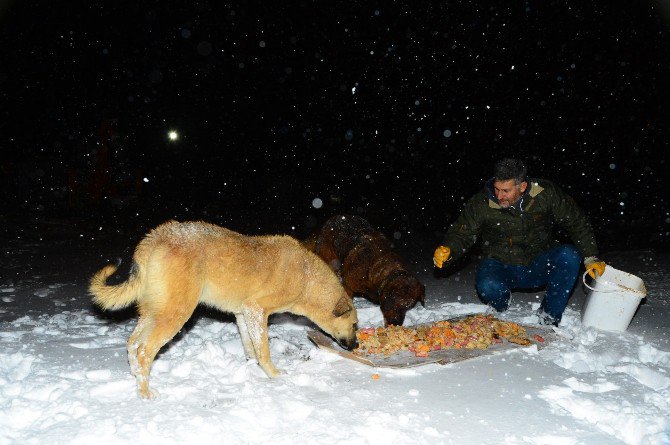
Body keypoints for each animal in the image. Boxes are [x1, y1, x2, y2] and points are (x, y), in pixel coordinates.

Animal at [93, 220, 362, 398]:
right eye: (354, 325)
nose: (356, 345)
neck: (306, 278)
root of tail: (156, 235)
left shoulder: (244, 314)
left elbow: (251, 349)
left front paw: (251, 369)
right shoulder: (257, 310)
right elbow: (264, 351)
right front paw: (274, 375)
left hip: (153, 313)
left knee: (132, 345)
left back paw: (137, 382)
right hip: (176, 315)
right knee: (143, 351)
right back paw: (146, 393)